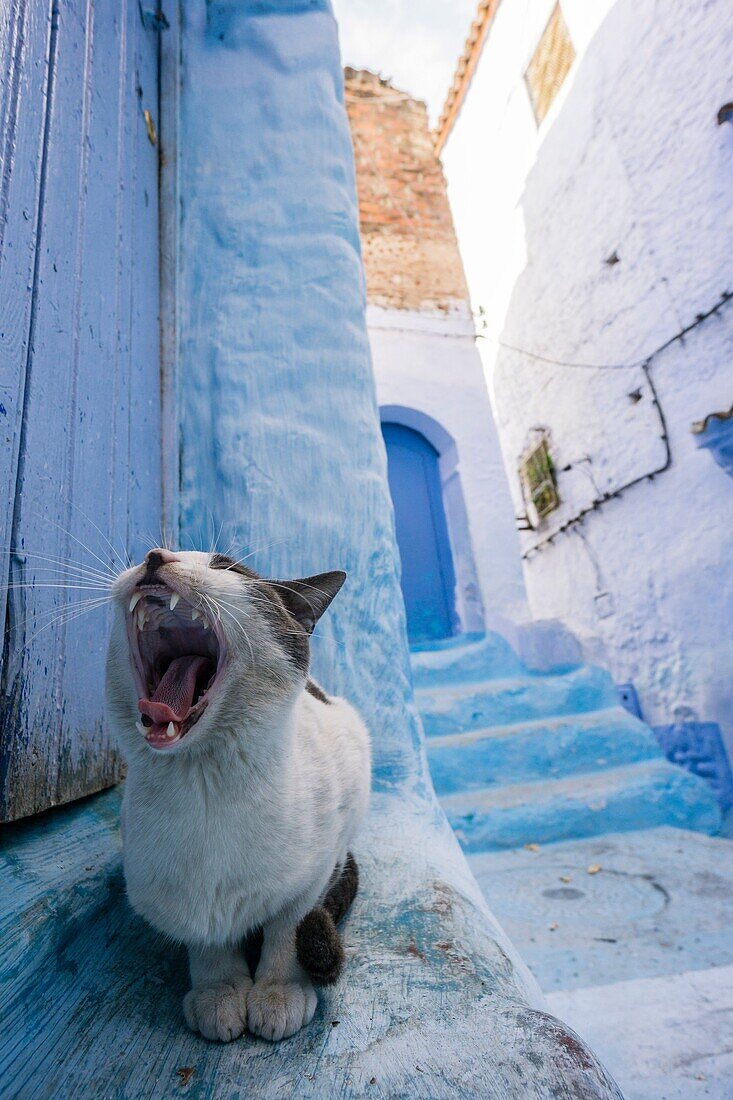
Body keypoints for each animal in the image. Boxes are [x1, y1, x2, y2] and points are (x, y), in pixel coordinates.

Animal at [104, 550, 372, 1038]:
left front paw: (278, 991)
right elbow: (208, 940)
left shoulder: (318, 869)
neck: (202, 790)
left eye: (226, 568)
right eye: (146, 552)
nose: (155, 556)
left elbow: (288, 929)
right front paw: (220, 990)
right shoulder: (180, 899)